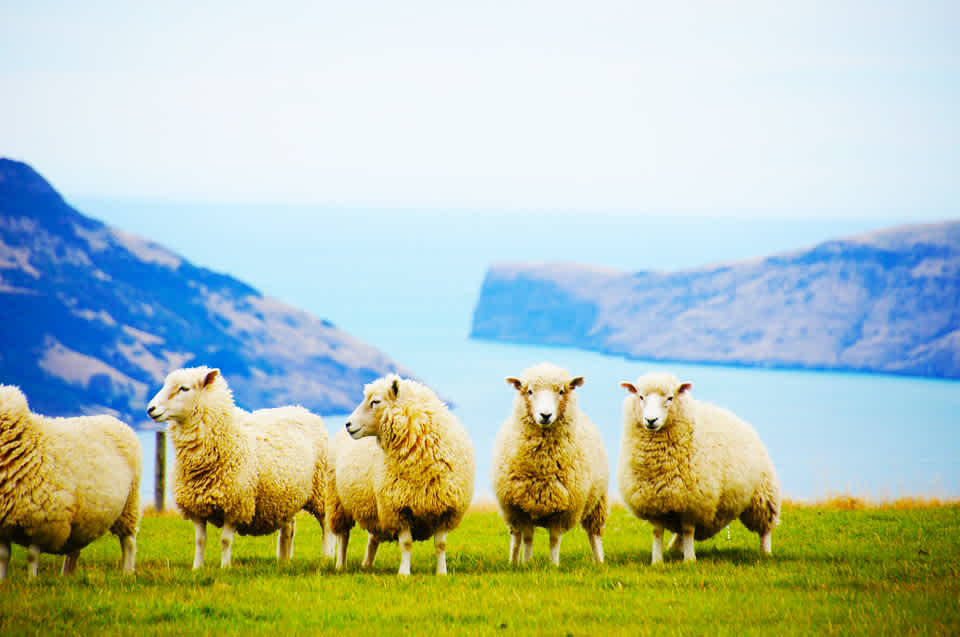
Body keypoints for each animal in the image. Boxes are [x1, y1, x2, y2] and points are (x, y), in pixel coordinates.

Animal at [0, 386, 141, 580]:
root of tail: (113, 419)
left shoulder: (42, 522)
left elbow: (32, 556)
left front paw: (31, 580)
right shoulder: (3, 526)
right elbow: (4, 556)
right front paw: (3, 580)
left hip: (129, 506)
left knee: (128, 542)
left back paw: (127, 571)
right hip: (83, 518)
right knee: (74, 550)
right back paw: (67, 576)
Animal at [146, 366, 330, 568]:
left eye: (184, 388)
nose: (150, 409)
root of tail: (302, 409)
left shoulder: (235, 504)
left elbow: (225, 540)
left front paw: (225, 567)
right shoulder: (196, 507)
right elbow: (200, 540)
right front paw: (197, 568)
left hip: (321, 490)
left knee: (326, 527)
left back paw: (326, 557)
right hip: (286, 496)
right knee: (288, 529)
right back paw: (283, 560)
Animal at [342, 372, 476, 576]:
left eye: (375, 401)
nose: (348, 424)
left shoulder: (444, 508)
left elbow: (441, 545)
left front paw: (441, 572)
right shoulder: (399, 507)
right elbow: (406, 544)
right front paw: (404, 573)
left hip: (374, 509)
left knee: (373, 539)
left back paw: (367, 565)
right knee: (342, 538)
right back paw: (340, 565)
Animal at [496, 362, 608, 568]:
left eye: (561, 391)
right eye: (530, 391)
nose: (545, 415)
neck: (543, 464)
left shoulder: (563, 510)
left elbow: (555, 540)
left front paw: (553, 566)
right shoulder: (522, 507)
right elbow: (528, 538)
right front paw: (526, 563)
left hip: (598, 501)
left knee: (594, 535)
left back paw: (599, 562)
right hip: (511, 512)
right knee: (516, 537)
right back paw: (513, 561)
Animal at [616, 372, 780, 560]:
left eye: (670, 398)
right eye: (641, 397)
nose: (651, 420)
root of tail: (739, 419)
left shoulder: (693, 502)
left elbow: (688, 530)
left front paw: (689, 560)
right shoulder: (654, 502)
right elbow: (657, 532)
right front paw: (657, 560)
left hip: (762, 494)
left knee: (765, 528)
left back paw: (766, 553)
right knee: (678, 532)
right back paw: (674, 548)